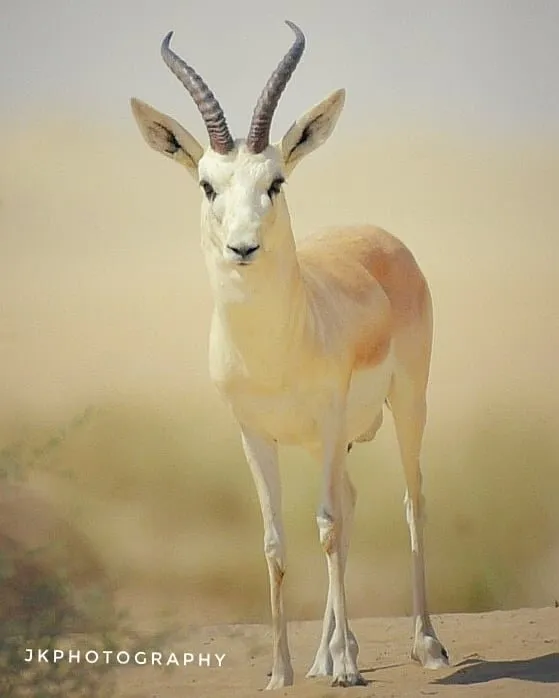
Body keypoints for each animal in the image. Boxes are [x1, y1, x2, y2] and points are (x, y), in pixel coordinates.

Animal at [131, 20, 448, 689]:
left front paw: (349, 671)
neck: (275, 351)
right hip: (331, 442)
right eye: (208, 185)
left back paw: (424, 644)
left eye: (274, 181)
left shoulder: (327, 422)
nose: (243, 247)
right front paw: (282, 672)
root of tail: (380, 238)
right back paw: (329, 653)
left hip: (407, 404)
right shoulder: (255, 434)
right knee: (350, 504)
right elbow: (277, 541)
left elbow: (324, 527)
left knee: (409, 504)